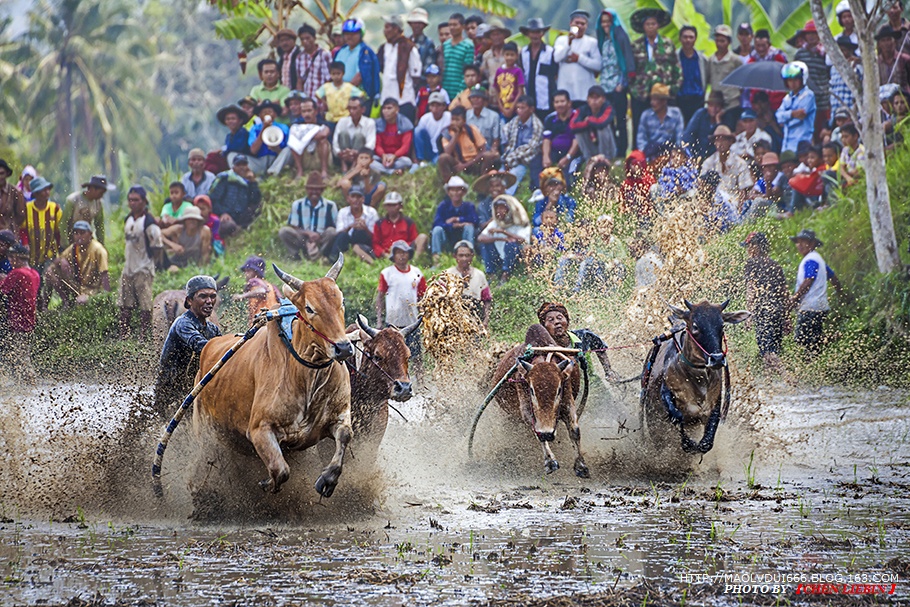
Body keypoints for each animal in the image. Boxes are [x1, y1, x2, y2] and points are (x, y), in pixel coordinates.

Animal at [194, 256, 354, 498]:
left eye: (341, 302)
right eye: (309, 308)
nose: (343, 348)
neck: (308, 377)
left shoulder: (339, 416)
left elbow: (344, 436)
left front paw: (327, 479)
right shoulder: (259, 429)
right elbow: (280, 470)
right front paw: (267, 483)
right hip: (204, 432)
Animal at [492, 326, 592, 478]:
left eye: (559, 390)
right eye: (531, 390)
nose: (547, 434)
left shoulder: (568, 403)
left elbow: (575, 431)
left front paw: (581, 466)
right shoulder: (525, 408)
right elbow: (536, 430)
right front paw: (550, 462)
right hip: (510, 417)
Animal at [636, 300, 752, 456]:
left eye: (722, 325)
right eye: (695, 326)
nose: (717, 359)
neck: (698, 377)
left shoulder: (714, 404)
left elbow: (707, 442)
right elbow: (677, 417)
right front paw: (687, 443)